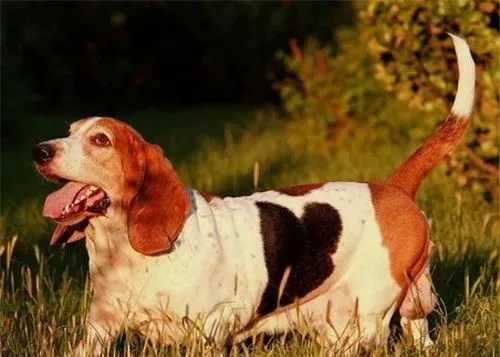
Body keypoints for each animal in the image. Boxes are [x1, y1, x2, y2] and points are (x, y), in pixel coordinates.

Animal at [33, 34, 474, 354]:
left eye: (101, 140)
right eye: (70, 131)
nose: (40, 151)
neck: (124, 250)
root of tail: (390, 187)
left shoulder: (207, 330)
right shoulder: (100, 329)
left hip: (364, 317)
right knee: (418, 328)